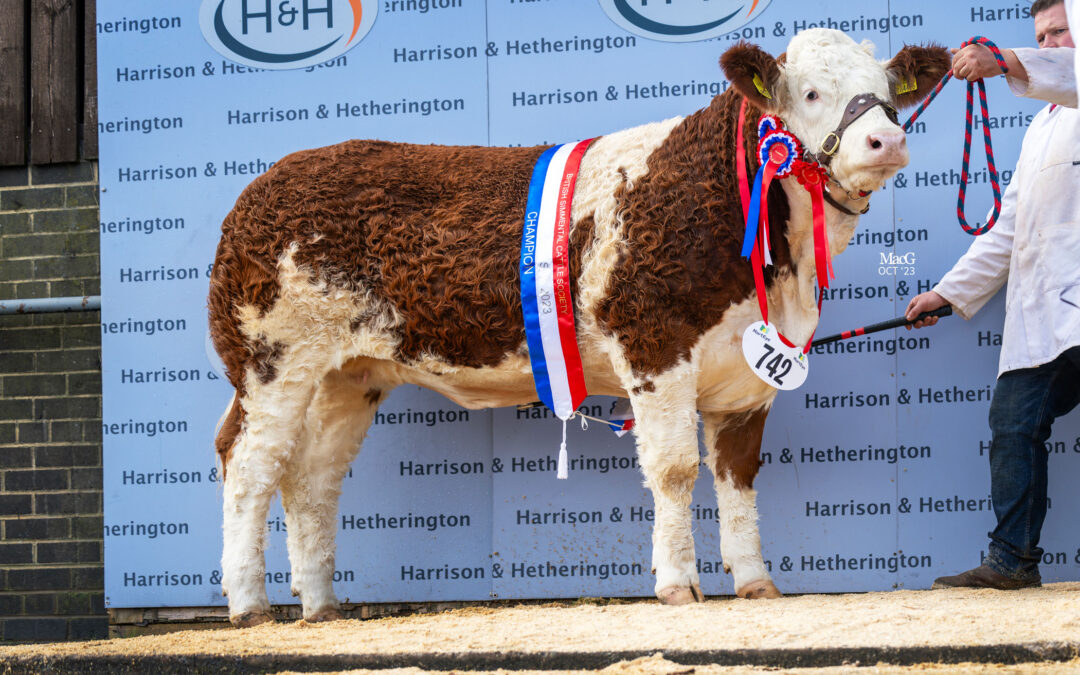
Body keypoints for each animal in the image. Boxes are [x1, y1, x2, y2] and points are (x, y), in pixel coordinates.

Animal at [208, 28, 946, 622]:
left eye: (889, 92)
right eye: (812, 92)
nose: (887, 139)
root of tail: (264, 185)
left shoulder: (748, 375)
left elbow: (737, 476)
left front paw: (756, 582)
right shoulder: (653, 345)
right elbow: (676, 469)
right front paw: (678, 585)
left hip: (348, 375)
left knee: (313, 478)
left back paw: (320, 606)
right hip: (273, 359)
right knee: (249, 464)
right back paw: (250, 604)